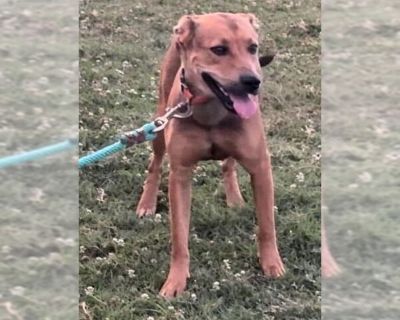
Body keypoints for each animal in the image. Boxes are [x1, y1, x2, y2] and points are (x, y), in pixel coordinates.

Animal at [137, 12, 284, 298]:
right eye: (219, 50)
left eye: (253, 48)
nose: (253, 82)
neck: (213, 111)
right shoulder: (180, 174)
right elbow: (179, 237)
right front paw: (176, 280)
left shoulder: (261, 167)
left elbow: (266, 226)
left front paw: (272, 264)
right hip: (159, 121)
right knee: (155, 165)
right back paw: (147, 203)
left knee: (228, 164)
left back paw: (234, 197)